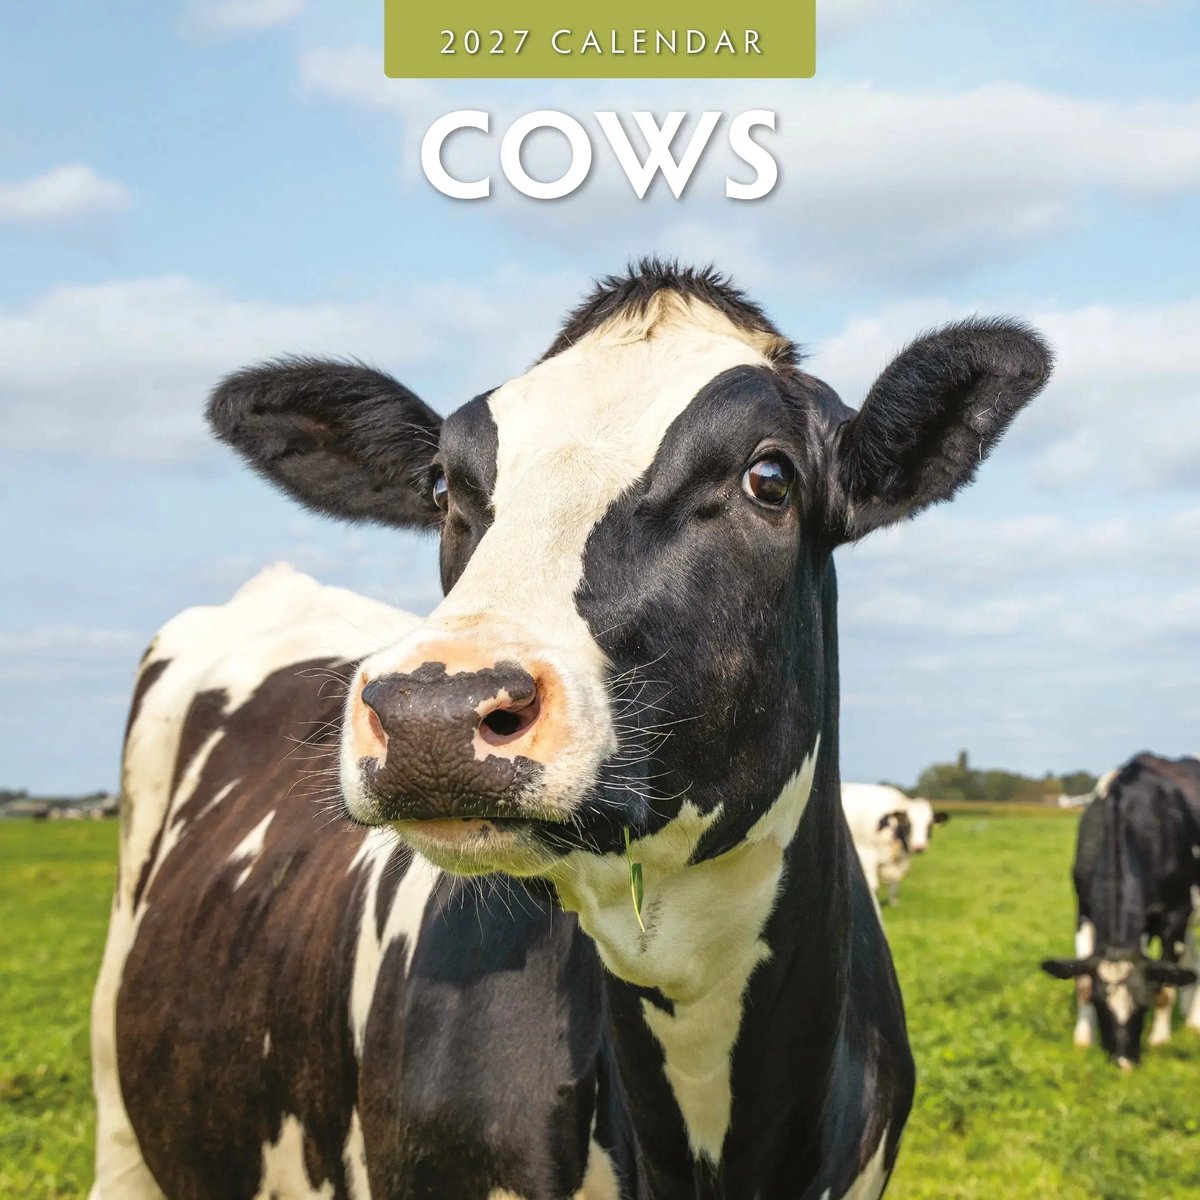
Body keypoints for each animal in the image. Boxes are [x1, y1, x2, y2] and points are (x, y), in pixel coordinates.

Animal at [1041, 752, 1200, 1068]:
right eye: (1100, 1003)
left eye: (1143, 1003)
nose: (1124, 1064)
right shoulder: (1084, 911)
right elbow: (1082, 981)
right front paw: (1082, 1040)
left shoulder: (1176, 914)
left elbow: (1165, 985)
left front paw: (1160, 1039)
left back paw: (1194, 1021)